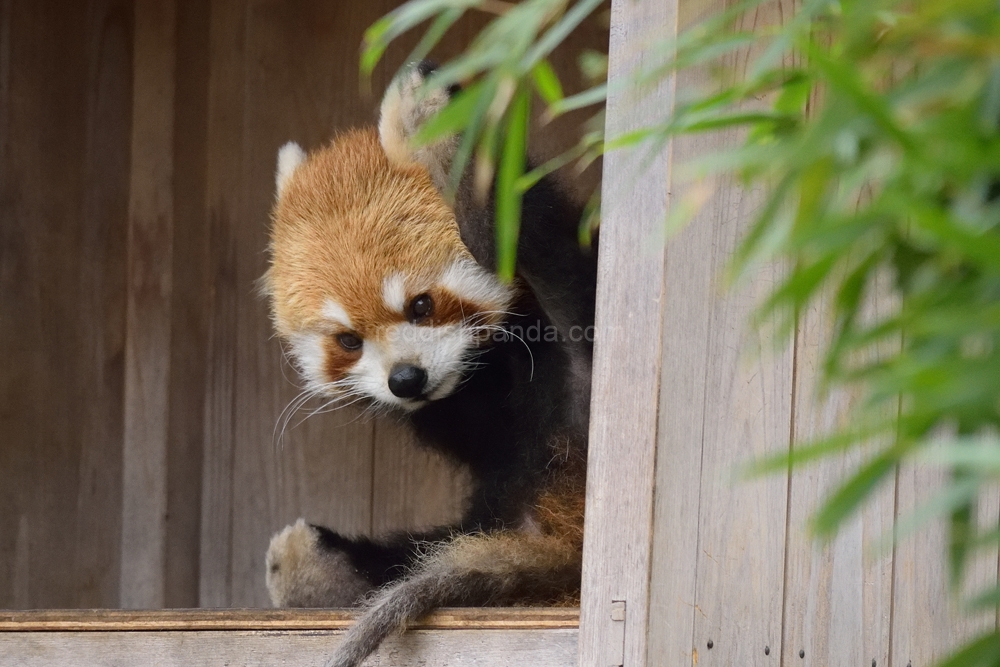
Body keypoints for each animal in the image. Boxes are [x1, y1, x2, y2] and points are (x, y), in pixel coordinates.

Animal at [262, 62, 596, 667]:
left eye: (421, 305)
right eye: (349, 340)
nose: (406, 380)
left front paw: (436, 133)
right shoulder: (475, 414)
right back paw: (317, 571)